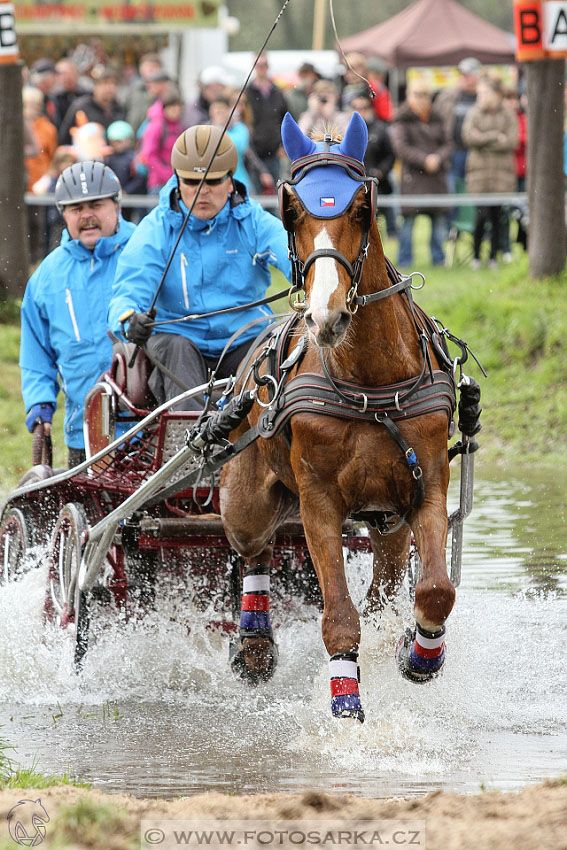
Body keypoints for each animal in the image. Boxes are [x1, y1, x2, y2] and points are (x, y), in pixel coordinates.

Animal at [221, 114, 458, 724]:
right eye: (291, 211)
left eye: (360, 210)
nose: (325, 314)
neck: (372, 383)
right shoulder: (319, 502)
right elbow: (339, 619)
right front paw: (345, 707)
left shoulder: (426, 487)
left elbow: (434, 592)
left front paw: (417, 653)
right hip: (247, 497)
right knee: (253, 547)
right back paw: (254, 641)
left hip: (388, 520)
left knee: (385, 583)